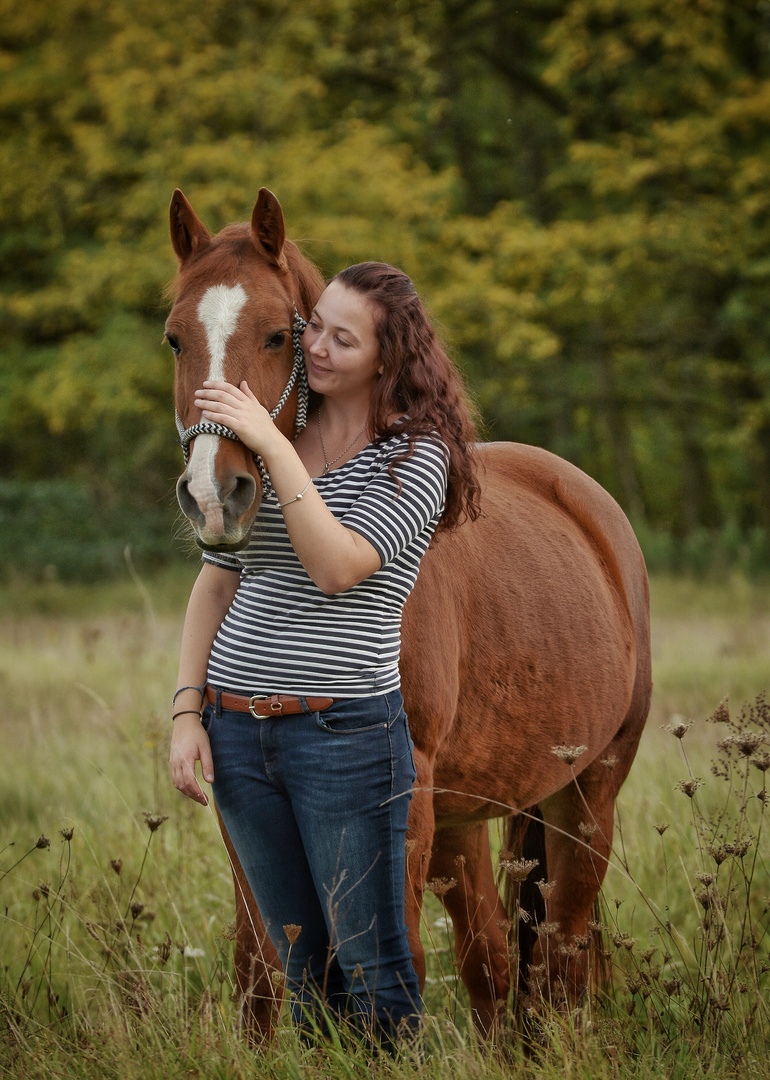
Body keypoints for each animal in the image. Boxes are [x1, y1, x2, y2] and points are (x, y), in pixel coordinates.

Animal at [166, 187, 647, 1036]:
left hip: (588, 795)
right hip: (465, 820)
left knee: (559, 956)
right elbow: (260, 969)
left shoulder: (403, 799)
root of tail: (591, 505)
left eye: (279, 333)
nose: (213, 496)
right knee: (494, 963)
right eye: (173, 339)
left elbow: (397, 965)